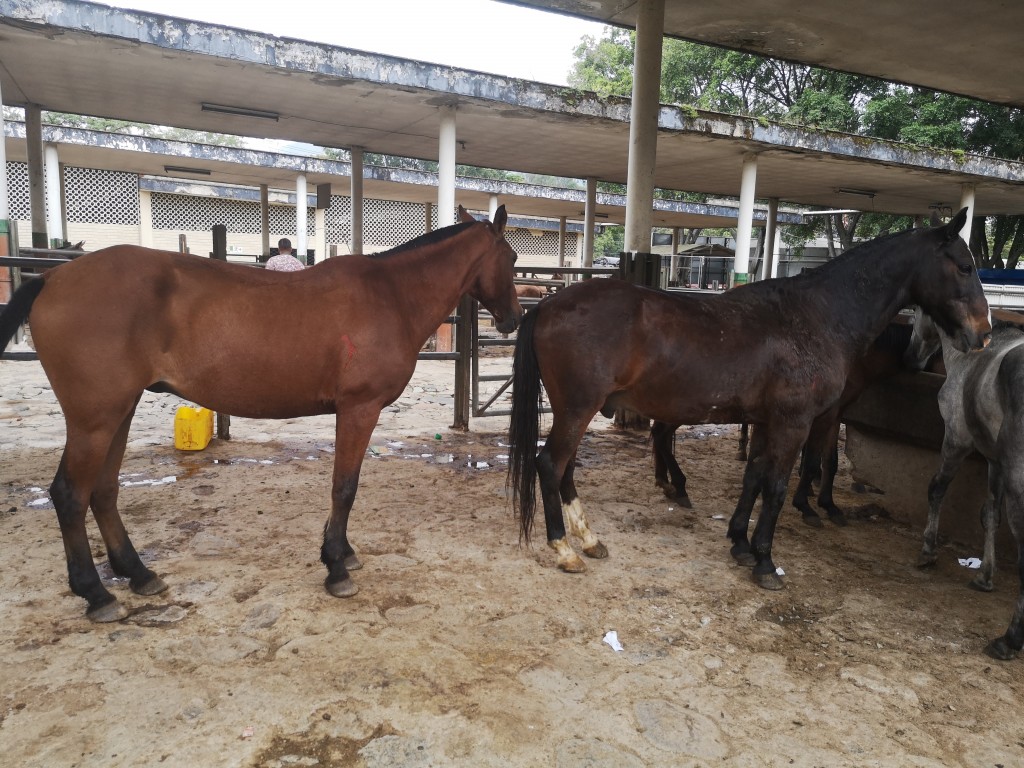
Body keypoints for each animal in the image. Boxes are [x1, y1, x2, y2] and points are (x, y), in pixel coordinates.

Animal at [0, 206, 523, 622]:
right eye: (514, 259)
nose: (514, 319)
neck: (390, 294)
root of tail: (53, 278)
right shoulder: (359, 409)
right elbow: (345, 487)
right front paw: (336, 565)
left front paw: (342, 553)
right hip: (94, 419)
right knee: (70, 495)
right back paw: (95, 593)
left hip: (119, 412)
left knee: (104, 491)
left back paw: (138, 573)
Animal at [651, 320, 934, 527]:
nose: (916, 362)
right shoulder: (825, 415)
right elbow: (816, 461)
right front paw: (811, 505)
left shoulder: (828, 416)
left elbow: (827, 461)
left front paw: (825, 502)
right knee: (661, 434)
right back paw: (678, 485)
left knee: (659, 433)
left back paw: (666, 482)